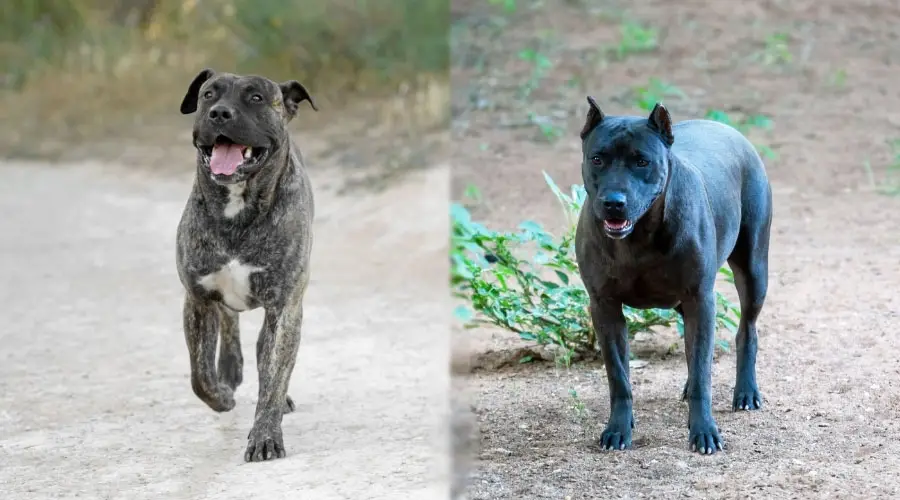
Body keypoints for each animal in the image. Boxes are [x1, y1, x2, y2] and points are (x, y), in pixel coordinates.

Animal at [576, 97, 772, 454]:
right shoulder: (604, 306)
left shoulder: (701, 300)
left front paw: (704, 430)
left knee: (746, 331)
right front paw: (618, 429)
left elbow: (703, 373)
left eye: (642, 162)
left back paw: (746, 392)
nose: (614, 202)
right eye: (597, 159)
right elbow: (618, 376)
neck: (638, 239)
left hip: (753, 271)